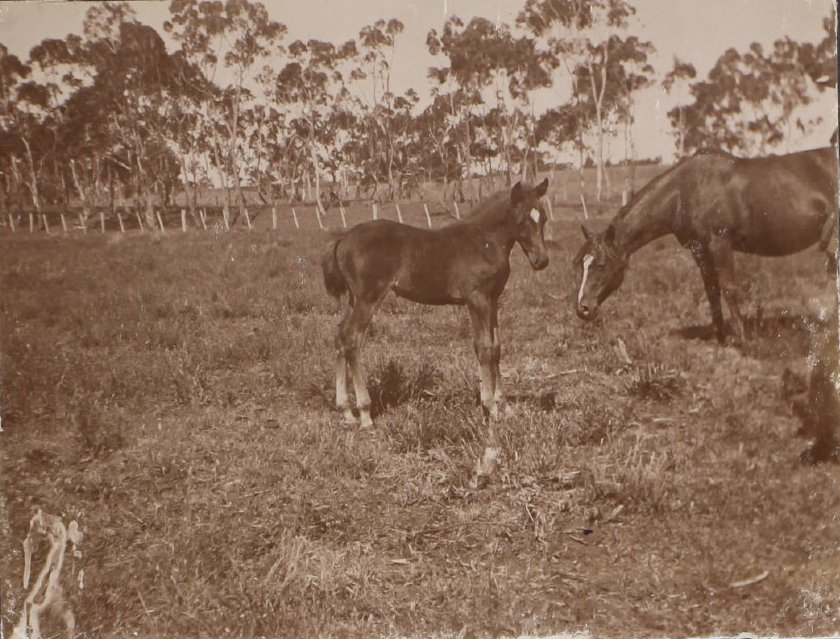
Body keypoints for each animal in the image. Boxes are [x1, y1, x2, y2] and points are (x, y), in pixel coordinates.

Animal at [322, 179, 550, 428]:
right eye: (521, 220)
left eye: (544, 218)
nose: (542, 261)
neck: (484, 242)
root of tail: (343, 238)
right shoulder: (476, 299)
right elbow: (484, 348)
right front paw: (490, 407)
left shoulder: (492, 300)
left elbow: (496, 348)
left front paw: (506, 407)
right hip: (368, 299)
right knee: (352, 338)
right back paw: (364, 414)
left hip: (354, 300)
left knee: (340, 335)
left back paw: (346, 411)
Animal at [573, 147, 838, 343]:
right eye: (580, 266)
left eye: (602, 265)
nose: (582, 309)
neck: (685, 190)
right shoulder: (699, 249)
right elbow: (712, 291)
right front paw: (720, 339)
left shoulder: (719, 243)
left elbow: (730, 289)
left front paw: (744, 341)